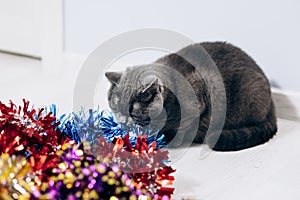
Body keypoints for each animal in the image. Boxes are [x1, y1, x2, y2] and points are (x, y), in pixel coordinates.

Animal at [105, 42, 276, 152]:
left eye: (132, 113)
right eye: (116, 109)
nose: (123, 122)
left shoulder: (198, 99)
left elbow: (184, 126)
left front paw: (173, 141)